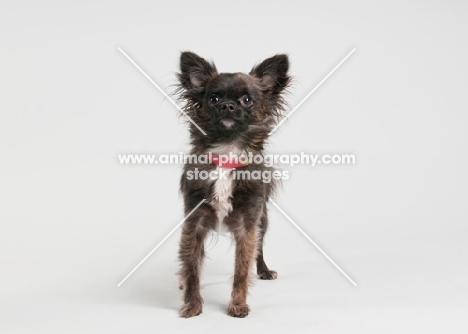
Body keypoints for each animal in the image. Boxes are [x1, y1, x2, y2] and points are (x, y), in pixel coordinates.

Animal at [177, 51, 290, 318]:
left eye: (247, 100)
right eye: (213, 98)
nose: (227, 105)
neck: (227, 155)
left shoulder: (247, 226)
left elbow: (242, 268)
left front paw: (238, 304)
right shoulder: (193, 222)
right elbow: (191, 264)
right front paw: (192, 303)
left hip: (262, 222)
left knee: (259, 249)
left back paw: (264, 270)